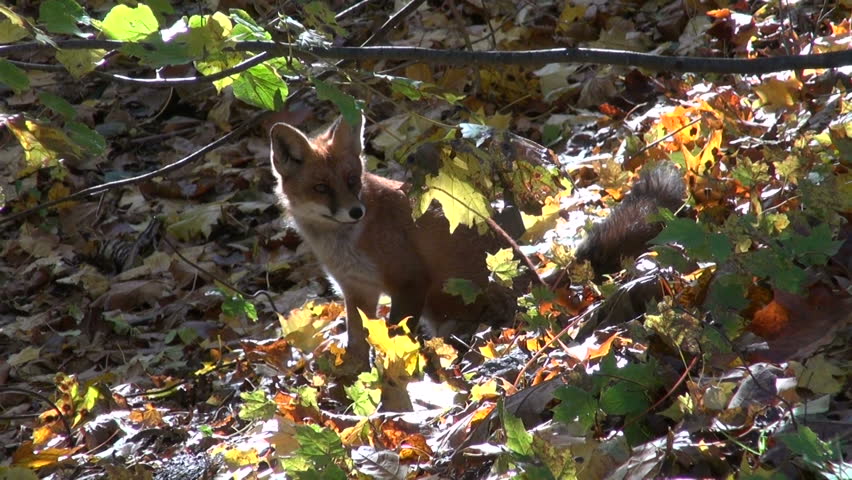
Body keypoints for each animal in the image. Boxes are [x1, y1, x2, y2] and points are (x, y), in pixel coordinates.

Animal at [269, 114, 686, 372]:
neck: (347, 242)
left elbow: (395, 336)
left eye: (352, 180)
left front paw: (394, 370)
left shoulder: (409, 281)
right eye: (321, 188)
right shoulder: (356, 290)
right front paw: (353, 384)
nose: (355, 211)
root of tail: (542, 287)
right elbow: (359, 344)